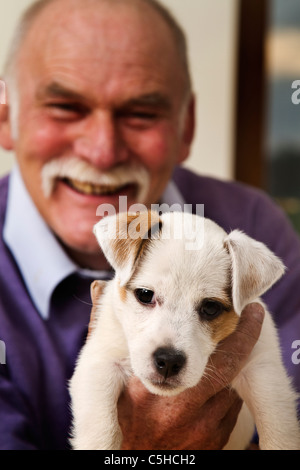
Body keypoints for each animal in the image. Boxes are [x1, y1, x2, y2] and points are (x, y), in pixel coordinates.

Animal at [68, 211, 300, 450]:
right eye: (145, 295)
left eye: (210, 307)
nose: (169, 361)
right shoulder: (100, 362)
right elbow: (102, 432)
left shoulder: (263, 372)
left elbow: (278, 432)